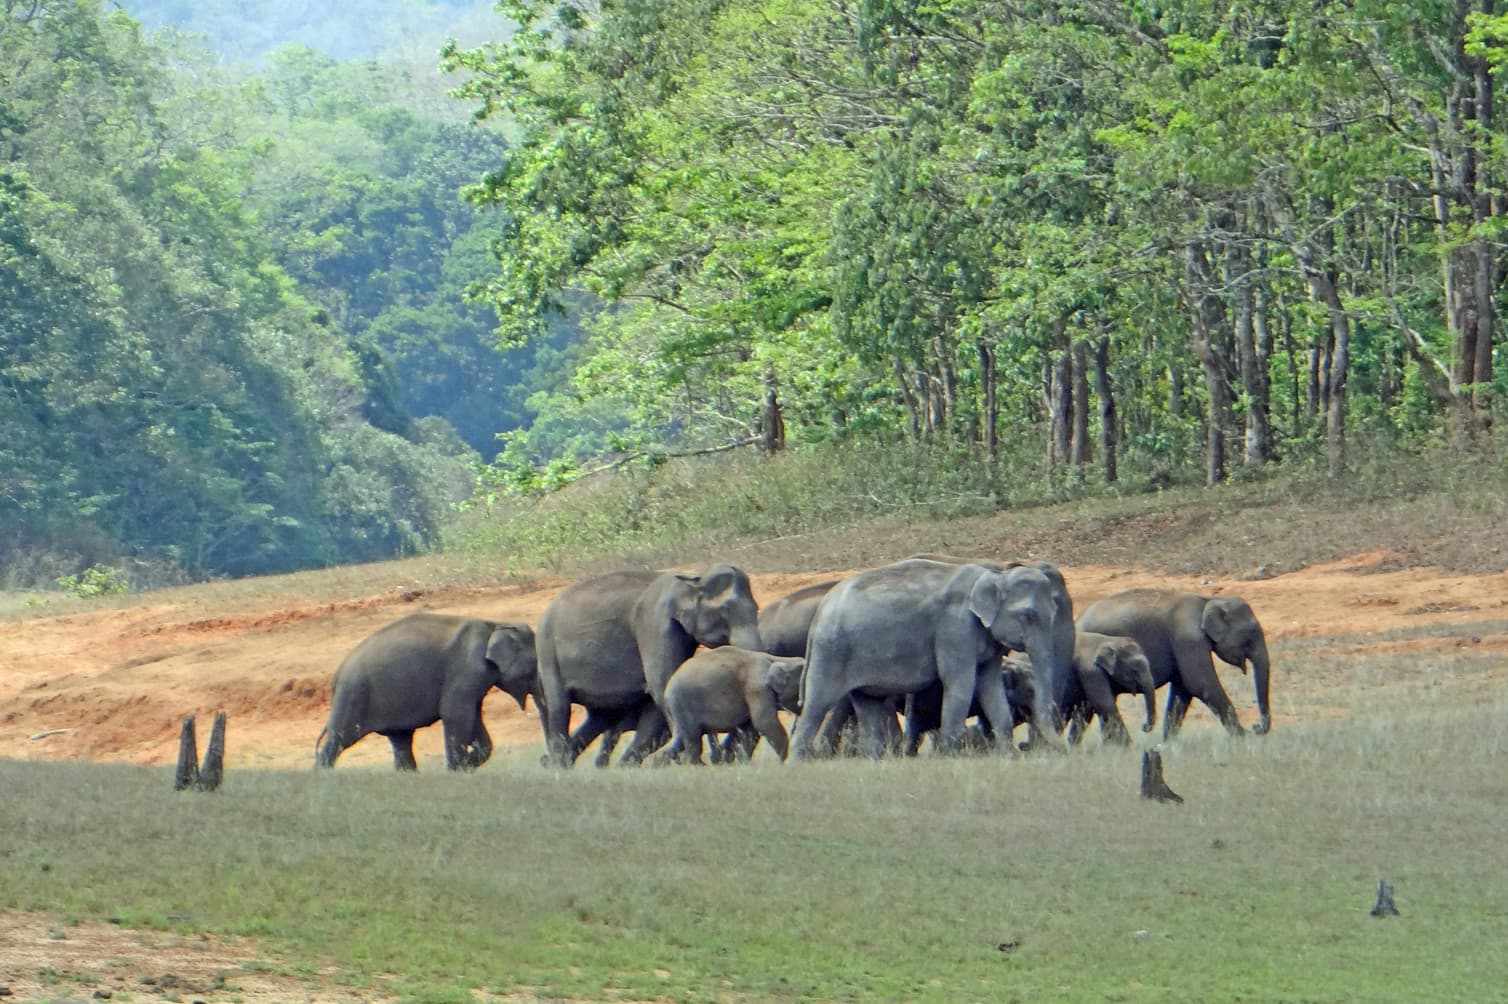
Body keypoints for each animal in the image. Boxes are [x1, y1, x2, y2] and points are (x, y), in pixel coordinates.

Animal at [315, 612, 536, 771]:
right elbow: (455, 714)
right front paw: (458, 768)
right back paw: (321, 775)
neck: (495, 624)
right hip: (353, 696)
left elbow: (473, 716)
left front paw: (469, 761)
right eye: (534, 668)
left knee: (401, 740)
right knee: (339, 737)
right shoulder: (465, 671)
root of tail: (336, 677)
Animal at [534, 563, 763, 766]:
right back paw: (558, 764)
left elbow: (657, 700)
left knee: (601, 717)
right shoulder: (654, 624)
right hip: (547, 653)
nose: (723, 757)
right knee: (559, 707)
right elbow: (662, 683)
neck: (691, 579)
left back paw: (559, 761)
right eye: (725, 611)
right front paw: (687, 762)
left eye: (756, 608)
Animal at [658, 648, 805, 764]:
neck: (776, 659)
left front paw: (744, 763)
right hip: (682, 704)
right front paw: (785, 761)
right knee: (692, 739)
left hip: (678, 709)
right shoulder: (757, 688)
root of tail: (666, 691)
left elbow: (749, 729)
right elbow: (764, 723)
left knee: (681, 739)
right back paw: (697, 765)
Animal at [789, 558, 1061, 759]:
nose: (1026, 749)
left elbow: (990, 687)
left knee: (867, 704)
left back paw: (876, 760)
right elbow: (960, 685)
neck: (994, 575)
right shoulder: (955, 629)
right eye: (1029, 615)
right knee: (816, 704)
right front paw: (951, 757)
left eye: (1053, 613)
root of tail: (820, 612)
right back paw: (797, 762)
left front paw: (1008, 756)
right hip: (831, 652)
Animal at [1075, 588, 1272, 738]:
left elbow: (1183, 690)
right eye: (1251, 633)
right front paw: (1243, 737)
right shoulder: (1187, 638)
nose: (1256, 727)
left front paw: (1168, 743)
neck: (1207, 600)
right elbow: (1200, 683)